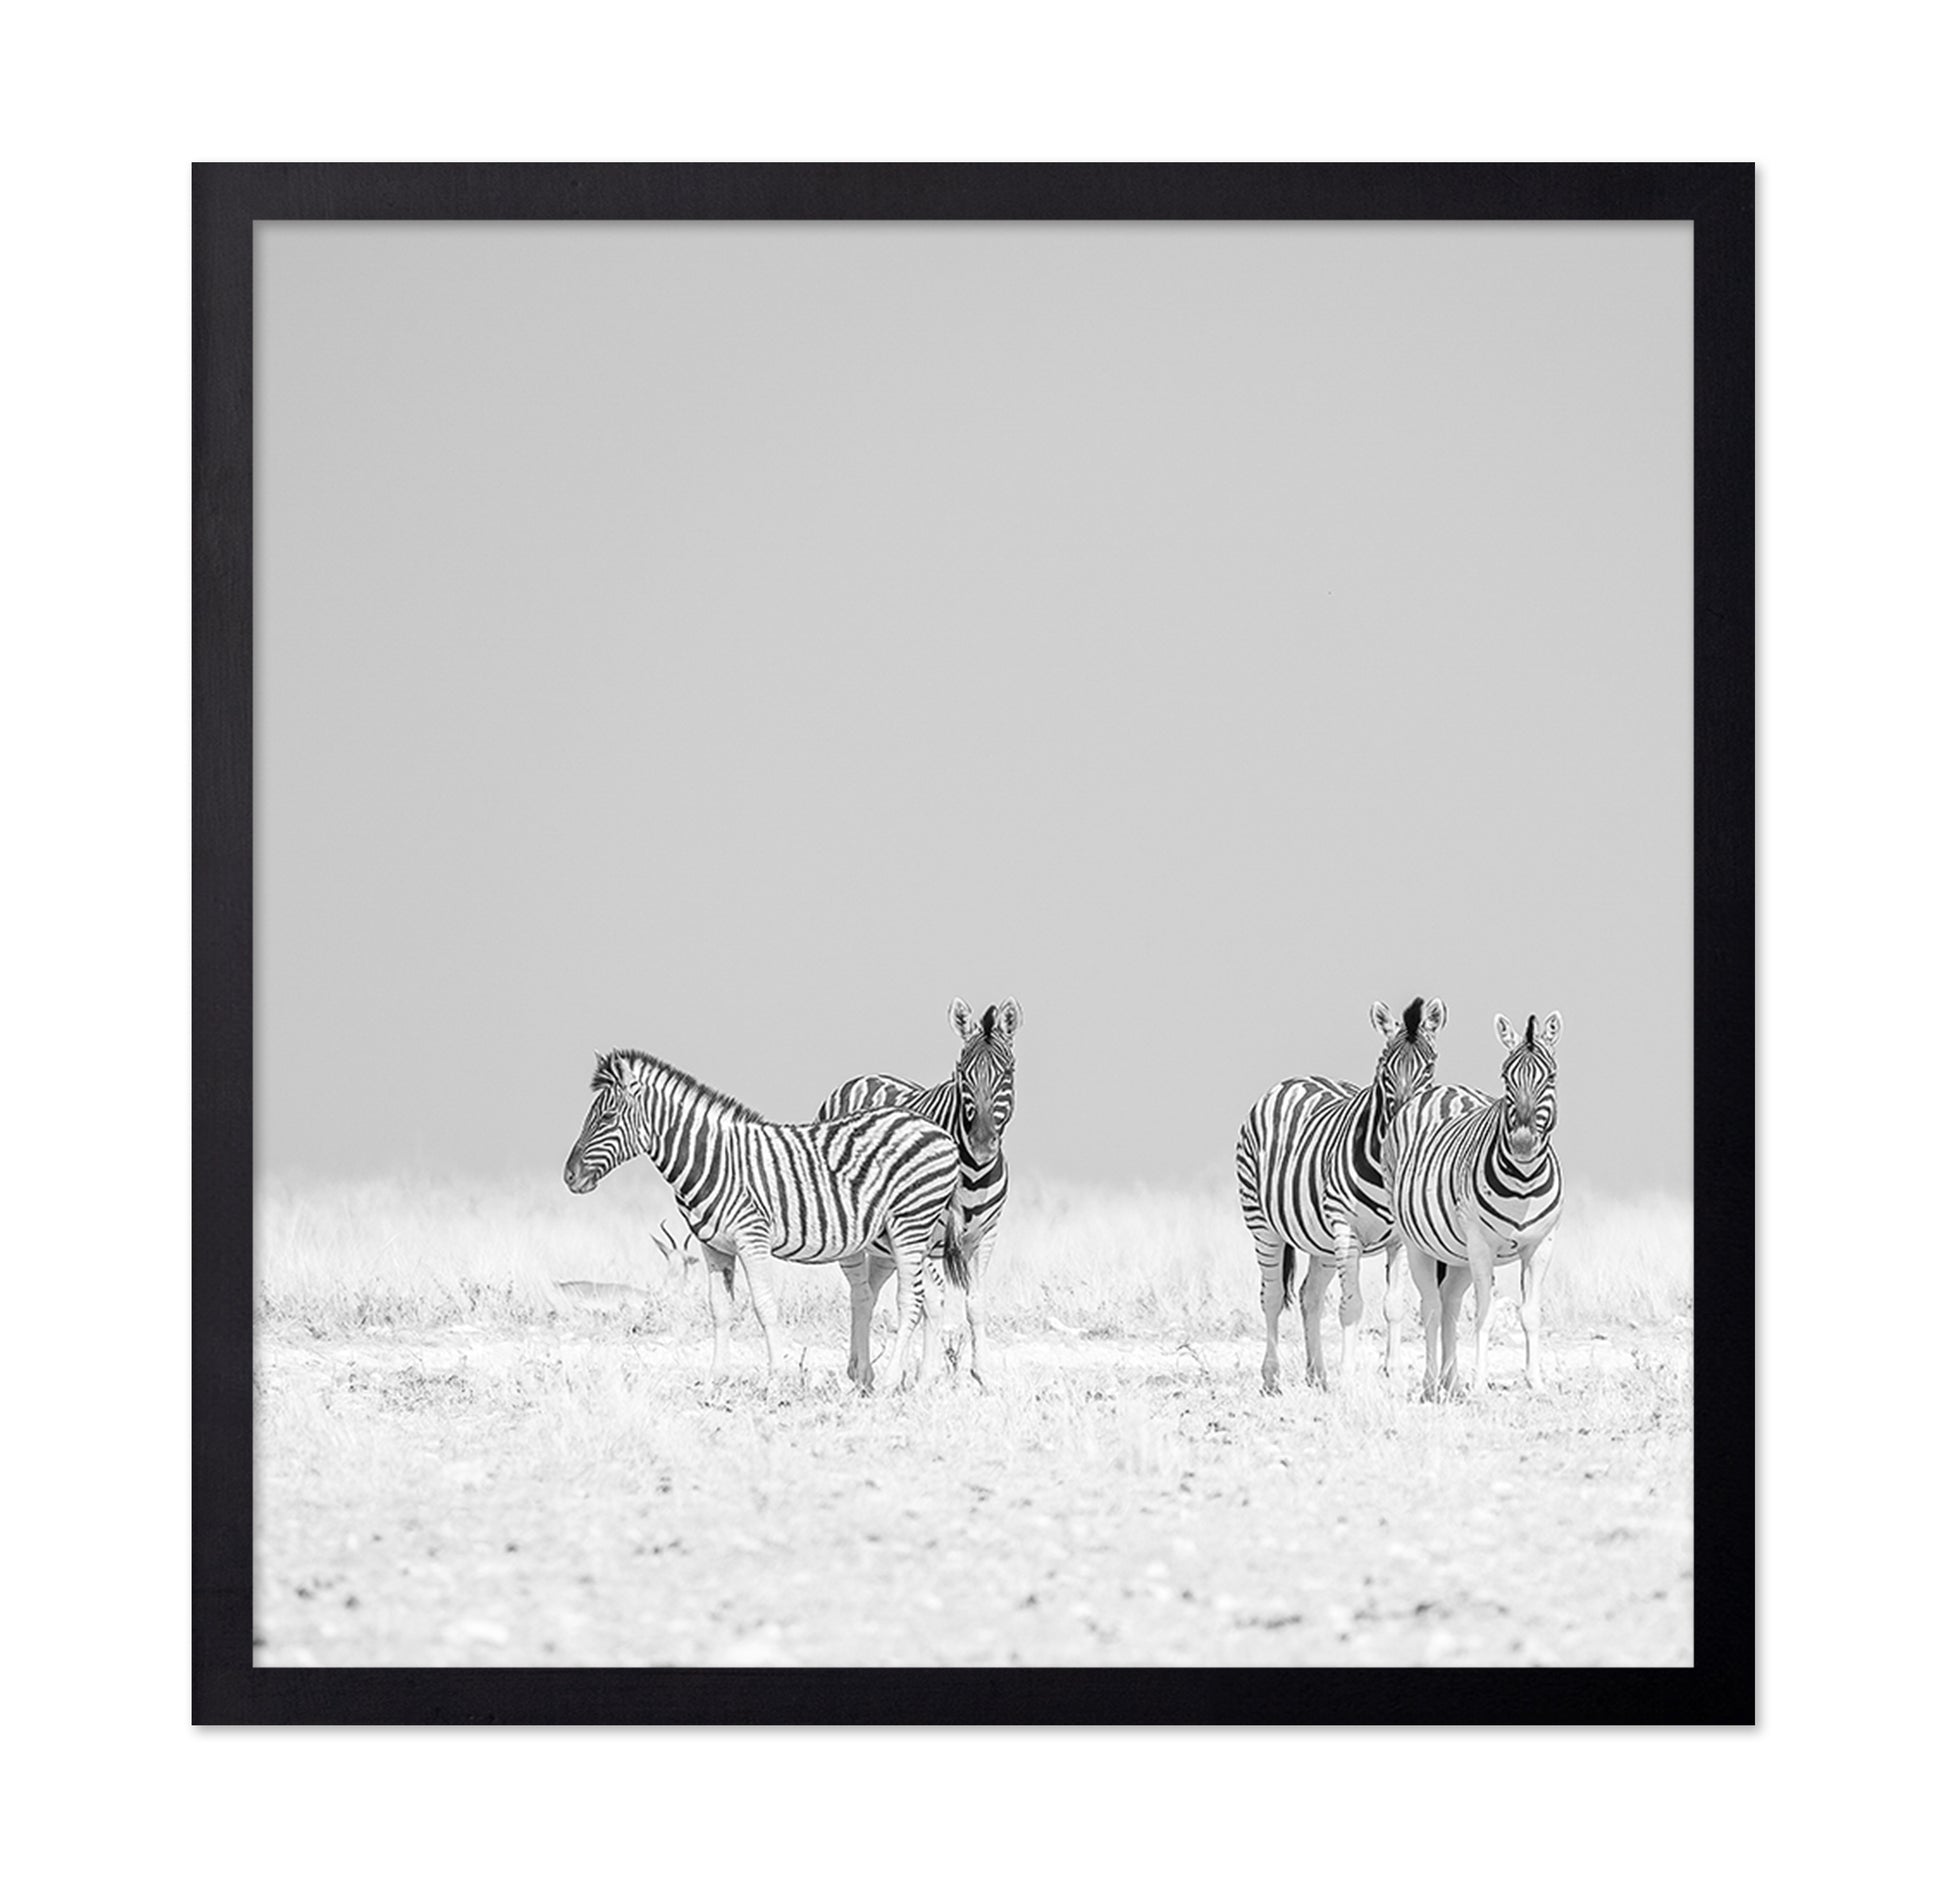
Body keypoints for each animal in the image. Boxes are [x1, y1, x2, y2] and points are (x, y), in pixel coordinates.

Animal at [561, 1049, 962, 1391]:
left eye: (607, 1117)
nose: (569, 1176)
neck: (714, 1160)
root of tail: (939, 1131)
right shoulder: (713, 1247)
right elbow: (720, 1310)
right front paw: (715, 1378)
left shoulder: (752, 1238)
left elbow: (764, 1307)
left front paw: (775, 1379)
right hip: (908, 1235)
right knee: (931, 1296)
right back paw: (922, 1382)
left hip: (909, 1223)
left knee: (911, 1299)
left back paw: (891, 1382)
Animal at [816, 998, 1019, 1388]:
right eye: (962, 1074)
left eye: (1008, 1073)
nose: (982, 1145)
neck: (972, 1173)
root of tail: (865, 1077)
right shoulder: (925, 1235)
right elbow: (932, 1303)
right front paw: (927, 1376)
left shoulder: (986, 1235)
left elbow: (975, 1302)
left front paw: (983, 1374)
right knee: (860, 1291)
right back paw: (862, 1373)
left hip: (885, 1243)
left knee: (872, 1288)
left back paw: (860, 1369)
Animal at [1236, 997, 1446, 1393]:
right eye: (1385, 1067)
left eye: (1429, 1066)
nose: (1402, 1123)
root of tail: (1295, 1079)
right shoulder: (1345, 1228)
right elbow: (1351, 1306)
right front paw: (1348, 1379)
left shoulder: (1400, 1239)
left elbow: (1394, 1305)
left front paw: (1393, 1372)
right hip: (1263, 1223)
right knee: (1272, 1297)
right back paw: (1272, 1378)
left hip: (1320, 1240)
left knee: (1309, 1296)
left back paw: (1317, 1374)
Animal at [1388, 1012, 1565, 1398]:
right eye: (1505, 1077)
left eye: (1551, 1076)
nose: (1523, 1142)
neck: (1524, 1180)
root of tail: (1441, 1089)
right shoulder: (1482, 1246)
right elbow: (1485, 1314)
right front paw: (1481, 1384)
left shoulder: (1541, 1245)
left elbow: (1530, 1314)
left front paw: (1536, 1382)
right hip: (1418, 1243)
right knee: (1432, 1306)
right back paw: (1431, 1383)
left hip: (1458, 1254)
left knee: (1450, 1303)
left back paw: (1451, 1381)